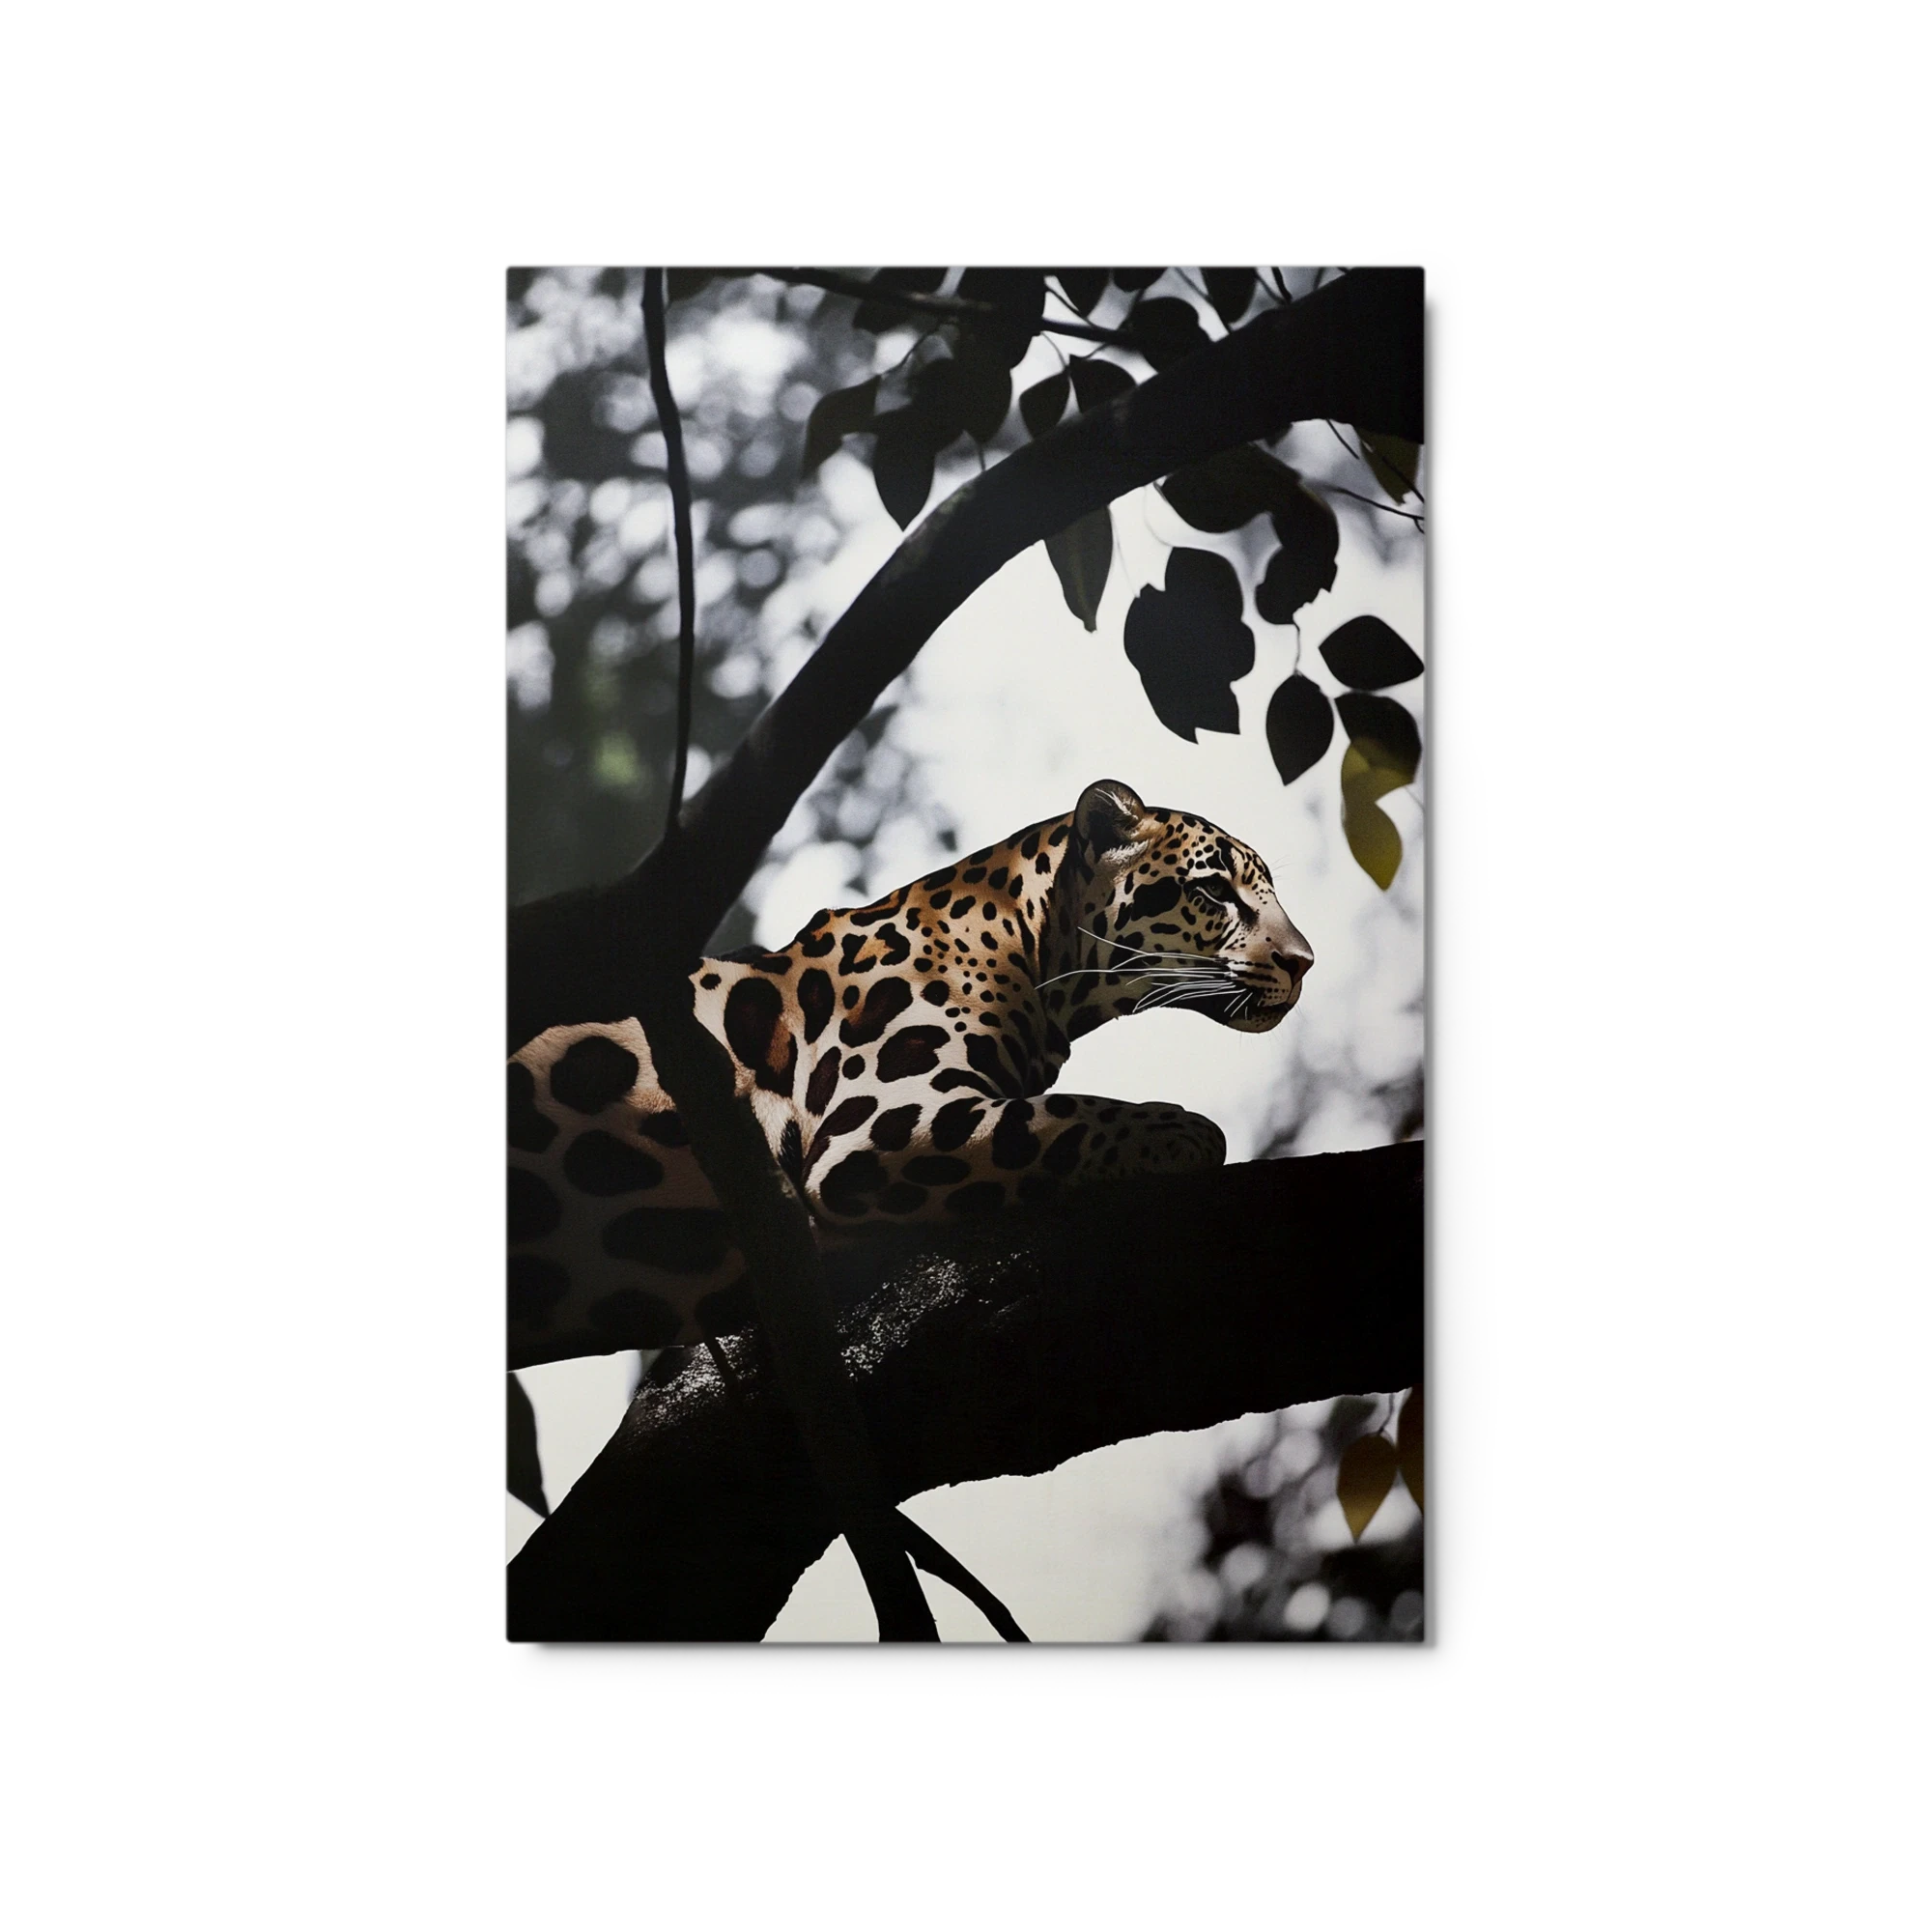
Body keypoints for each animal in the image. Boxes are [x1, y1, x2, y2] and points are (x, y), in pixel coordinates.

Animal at [502, 780, 1313, 1371]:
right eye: (1214, 891)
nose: (1303, 961)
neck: (1031, 946)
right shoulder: (878, 1122)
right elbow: (1071, 1115)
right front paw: (1185, 1132)